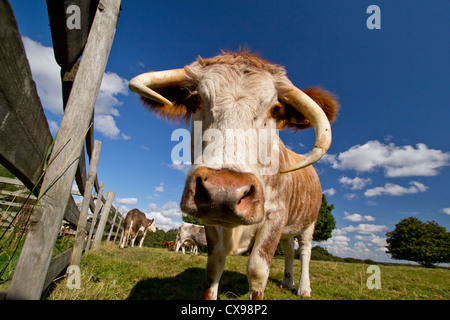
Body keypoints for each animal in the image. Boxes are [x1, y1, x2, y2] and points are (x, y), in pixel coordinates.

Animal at [128, 50, 340, 300]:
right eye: (195, 100)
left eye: (276, 110)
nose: (224, 192)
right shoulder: (211, 220)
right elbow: (214, 267)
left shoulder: (275, 215)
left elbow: (258, 271)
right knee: (289, 249)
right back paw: (287, 282)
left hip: (309, 222)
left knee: (305, 251)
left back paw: (303, 288)